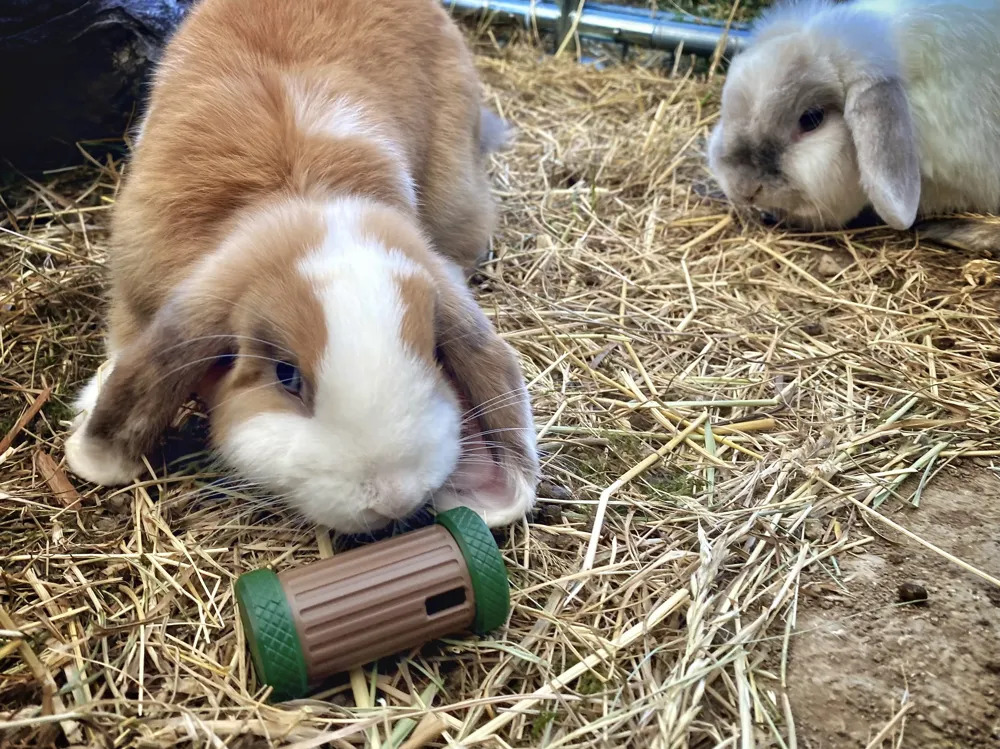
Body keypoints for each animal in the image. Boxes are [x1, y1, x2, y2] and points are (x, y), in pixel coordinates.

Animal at [63, 0, 540, 534]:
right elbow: (126, 341)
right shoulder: (134, 283)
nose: (393, 497)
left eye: (437, 355)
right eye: (286, 375)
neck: (301, 191)